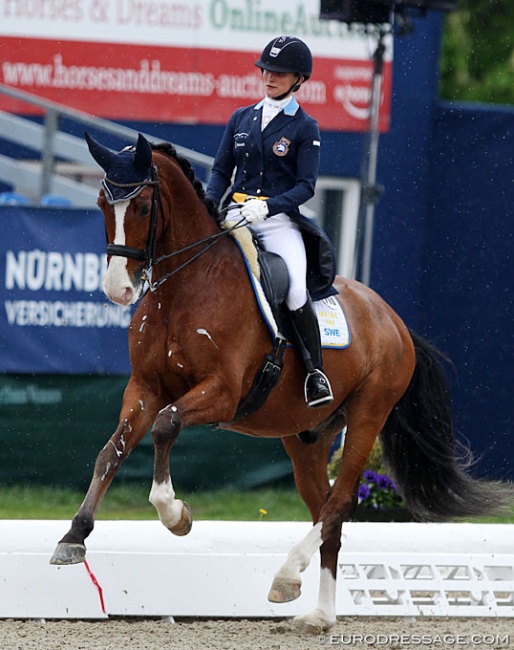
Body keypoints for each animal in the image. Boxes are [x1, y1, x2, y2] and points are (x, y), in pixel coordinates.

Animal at [51, 133, 508, 632]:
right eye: (101, 204)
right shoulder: (145, 389)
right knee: (326, 513)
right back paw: (319, 614)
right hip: (306, 438)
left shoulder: (222, 393)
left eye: (144, 206)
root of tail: (393, 318)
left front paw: (175, 514)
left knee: (339, 504)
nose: (118, 289)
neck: (186, 287)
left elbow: (166, 425)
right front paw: (73, 537)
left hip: (368, 415)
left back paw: (288, 573)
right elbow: (110, 452)